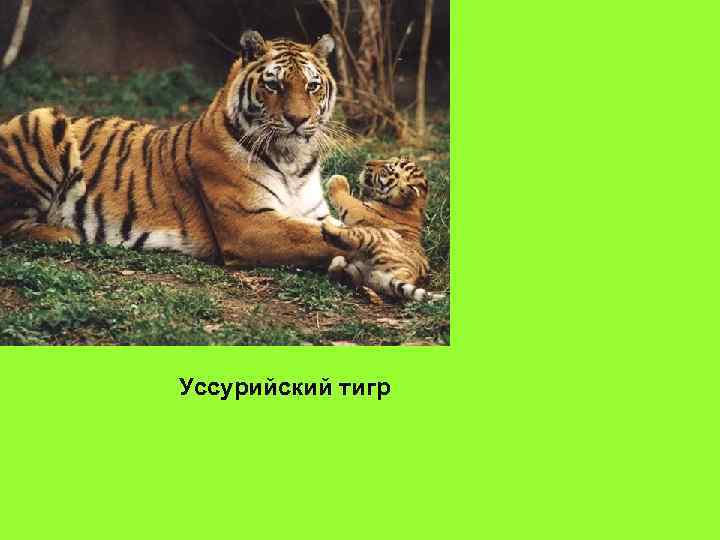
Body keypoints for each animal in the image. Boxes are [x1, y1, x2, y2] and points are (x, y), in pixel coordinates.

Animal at [0, 30, 348, 268]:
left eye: (312, 86)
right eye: (273, 84)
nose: (298, 119)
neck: (292, 161)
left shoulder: (314, 213)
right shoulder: (247, 223)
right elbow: (315, 237)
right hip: (43, 119)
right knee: (9, 226)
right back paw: (66, 233)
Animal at [320, 157, 445, 302]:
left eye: (385, 170)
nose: (367, 163)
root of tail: (404, 274)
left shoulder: (360, 210)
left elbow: (347, 199)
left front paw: (337, 179)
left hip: (373, 235)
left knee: (350, 237)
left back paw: (328, 228)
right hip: (361, 273)